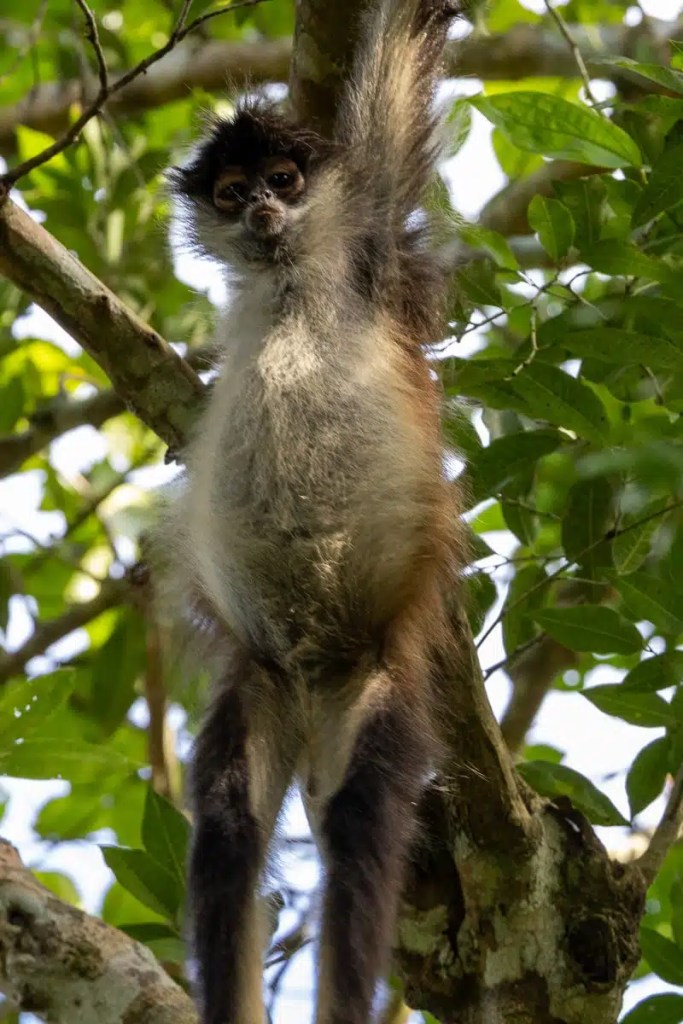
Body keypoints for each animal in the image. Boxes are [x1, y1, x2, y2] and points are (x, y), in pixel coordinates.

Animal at [165, 1, 465, 1022]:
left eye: (285, 181)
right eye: (230, 192)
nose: (262, 210)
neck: (291, 280)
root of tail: (308, 672)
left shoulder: (371, 246)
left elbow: (404, 42)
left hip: (371, 680)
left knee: (361, 821)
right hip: (257, 688)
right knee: (228, 827)